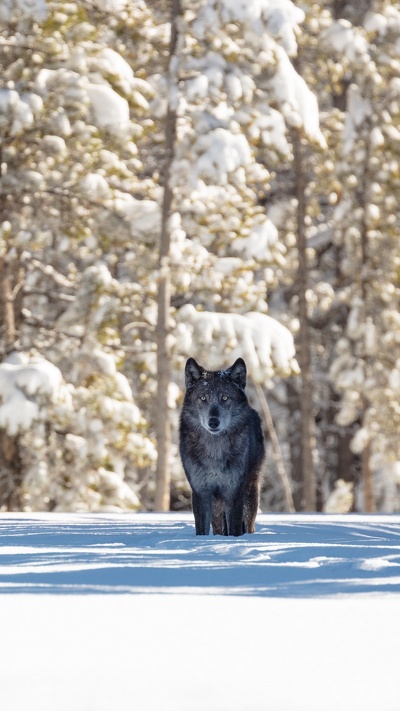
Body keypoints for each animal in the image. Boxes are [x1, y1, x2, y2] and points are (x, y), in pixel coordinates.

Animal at [180, 358, 264, 536]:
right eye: (203, 398)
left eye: (225, 398)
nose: (213, 422)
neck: (215, 450)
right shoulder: (201, 491)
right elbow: (201, 529)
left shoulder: (234, 491)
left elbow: (234, 528)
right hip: (217, 506)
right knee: (219, 526)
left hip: (250, 493)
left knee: (249, 524)